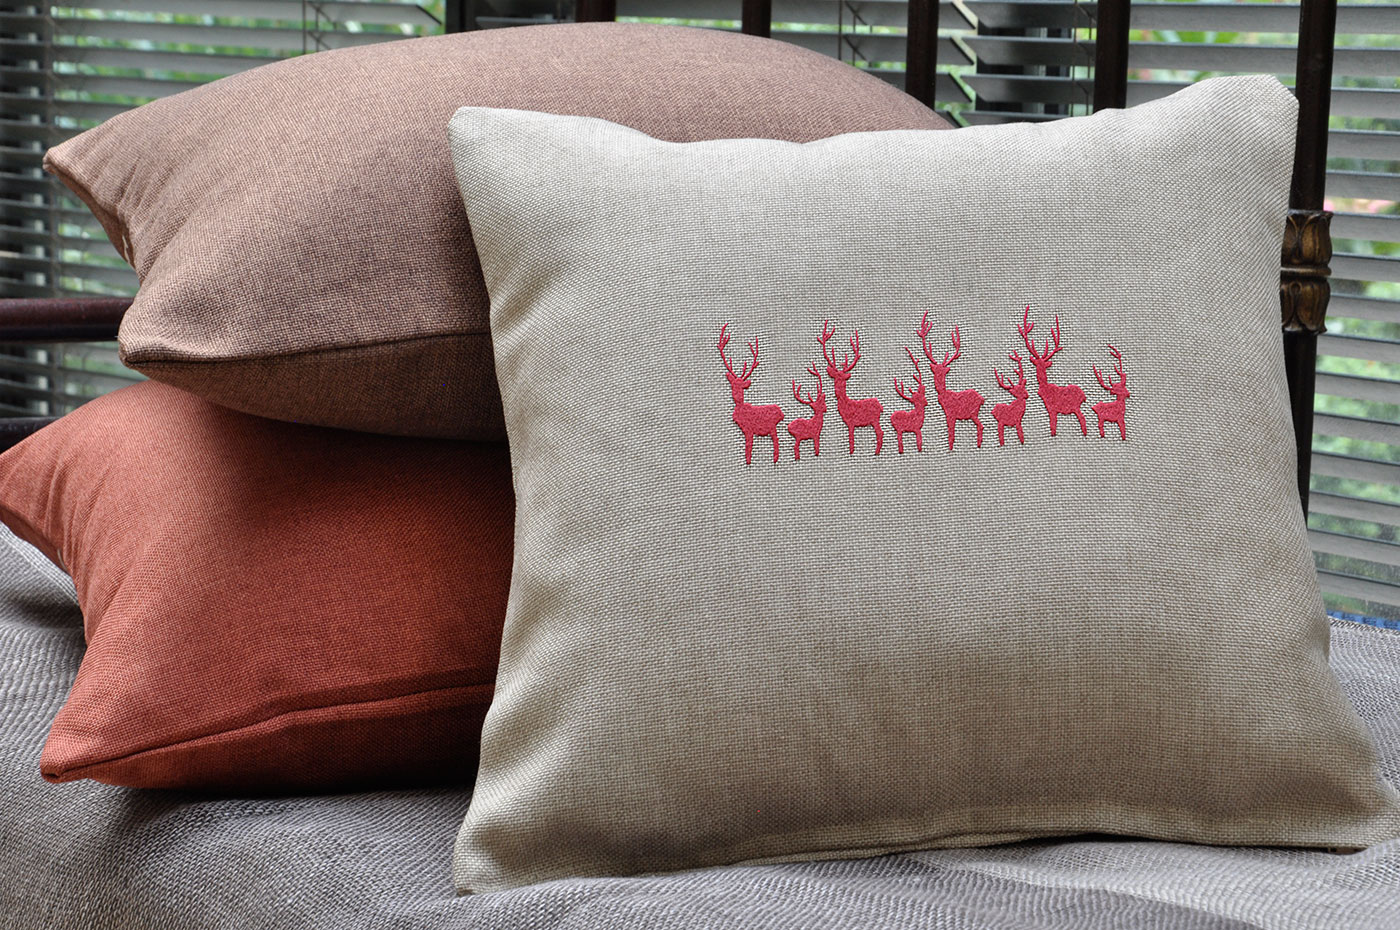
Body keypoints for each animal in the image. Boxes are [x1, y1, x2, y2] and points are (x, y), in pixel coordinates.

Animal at [718, 323, 785, 465]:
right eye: (733, 385)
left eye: (741, 386)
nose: (736, 396)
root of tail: (781, 413)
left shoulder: (748, 430)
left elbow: (748, 446)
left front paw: (748, 459)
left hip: (772, 427)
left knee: (776, 441)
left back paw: (775, 458)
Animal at [819, 321, 884, 455]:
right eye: (835, 378)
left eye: (843, 379)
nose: (837, 389)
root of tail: (880, 405)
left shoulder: (850, 422)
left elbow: (851, 437)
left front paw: (851, 450)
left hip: (874, 419)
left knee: (880, 432)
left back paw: (876, 452)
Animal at [918, 313, 985, 451]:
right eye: (936, 371)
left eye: (943, 372)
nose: (937, 377)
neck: (944, 395)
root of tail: (981, 398)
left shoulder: (950, 414)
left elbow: (951, 432)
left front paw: (950, 446)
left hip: (973, 413)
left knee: (980, 425)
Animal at [1018, 306, 1087, 438]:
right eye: (1037, 364)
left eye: (1043, 365)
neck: (1045, 388)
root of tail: (1083, 395)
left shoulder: (1052, 408)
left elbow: (1053, 423)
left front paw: (1053, 433)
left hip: (1076, 407)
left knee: (1082, 418)